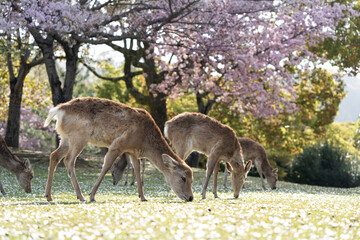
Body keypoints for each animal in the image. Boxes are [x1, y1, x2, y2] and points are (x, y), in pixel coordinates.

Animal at [43, 96, 194, 202]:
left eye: (192, 179)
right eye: (183, 177)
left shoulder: (132, 151)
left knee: (54, 156)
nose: (191, 197)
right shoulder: (117, 145)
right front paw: (92, 195)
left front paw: (142, 196)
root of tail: (58, 110)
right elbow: (106, 167)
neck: (144, 143)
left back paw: (49, 195)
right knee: (68, 160)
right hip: (78, 137)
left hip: (65, 138)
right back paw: (81, 196)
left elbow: (137, 169)